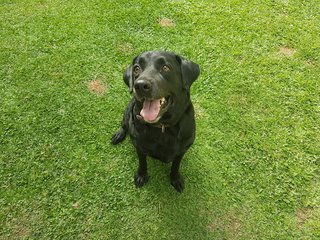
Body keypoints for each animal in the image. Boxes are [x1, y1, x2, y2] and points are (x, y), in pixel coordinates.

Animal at [111, 51, 199, 193]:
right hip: (128, 111)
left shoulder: (182, 150)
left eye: (165, 67)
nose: (140, 85)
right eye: (136, 68)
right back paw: (118, 135)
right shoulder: (140, 147)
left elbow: (176, 165)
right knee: (124, 125)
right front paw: (141, 175)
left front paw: (176, 179)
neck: (163, 127)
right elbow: (142, 163)